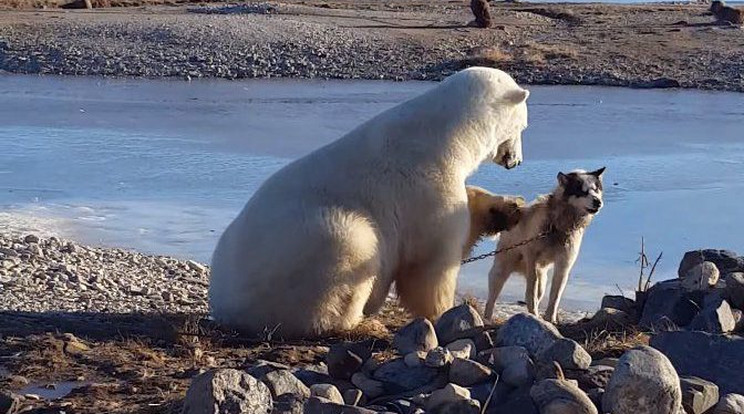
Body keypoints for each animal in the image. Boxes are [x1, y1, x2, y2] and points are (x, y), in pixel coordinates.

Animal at [209, 68, 528, 338]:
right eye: (523, 126)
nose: (517, 161)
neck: (448, 135)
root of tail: (223, 305)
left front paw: (506, 209)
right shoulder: (425, 185)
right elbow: (431, 261)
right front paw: (444, 311)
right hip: (305, 248)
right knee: (353, 245)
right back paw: (359, 321)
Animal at [482, 168, 604, 324]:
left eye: (596, 189)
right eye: (582, 191)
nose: (598, 201)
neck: (557, 226)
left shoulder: (563, 265)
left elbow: (555, 296)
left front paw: (550, 319)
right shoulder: (532, 260)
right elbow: (531, 293)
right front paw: (535, 315)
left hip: (542, 280)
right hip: (500, 272)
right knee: (492, 299)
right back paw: (487, 318)